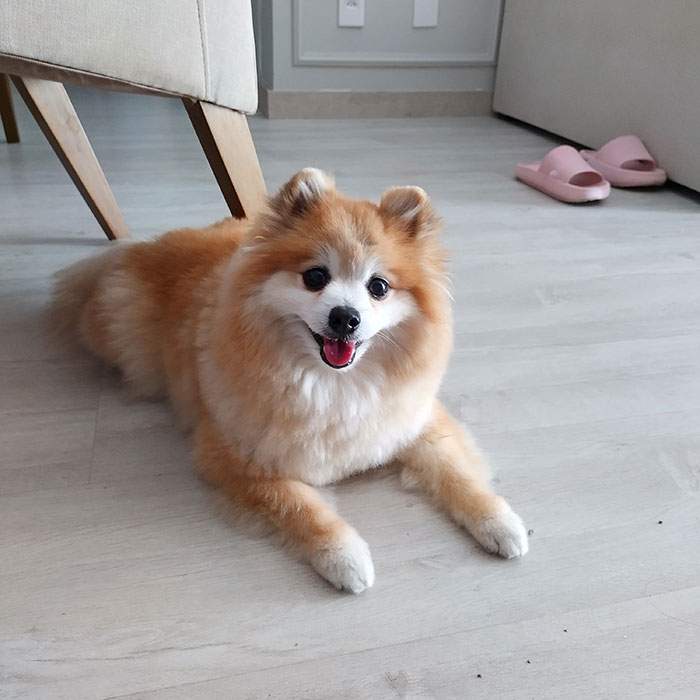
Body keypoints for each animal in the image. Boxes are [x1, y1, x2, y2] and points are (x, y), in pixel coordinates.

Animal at [52, 168, 528, 593]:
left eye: (378, 287)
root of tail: (143, 248)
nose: (345, 317)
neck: (334, 384)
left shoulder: (414, 424)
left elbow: (458, 474)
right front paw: (345, 558)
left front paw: (501, 522)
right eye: (315, 277)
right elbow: (300, 507)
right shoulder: (234, 457)